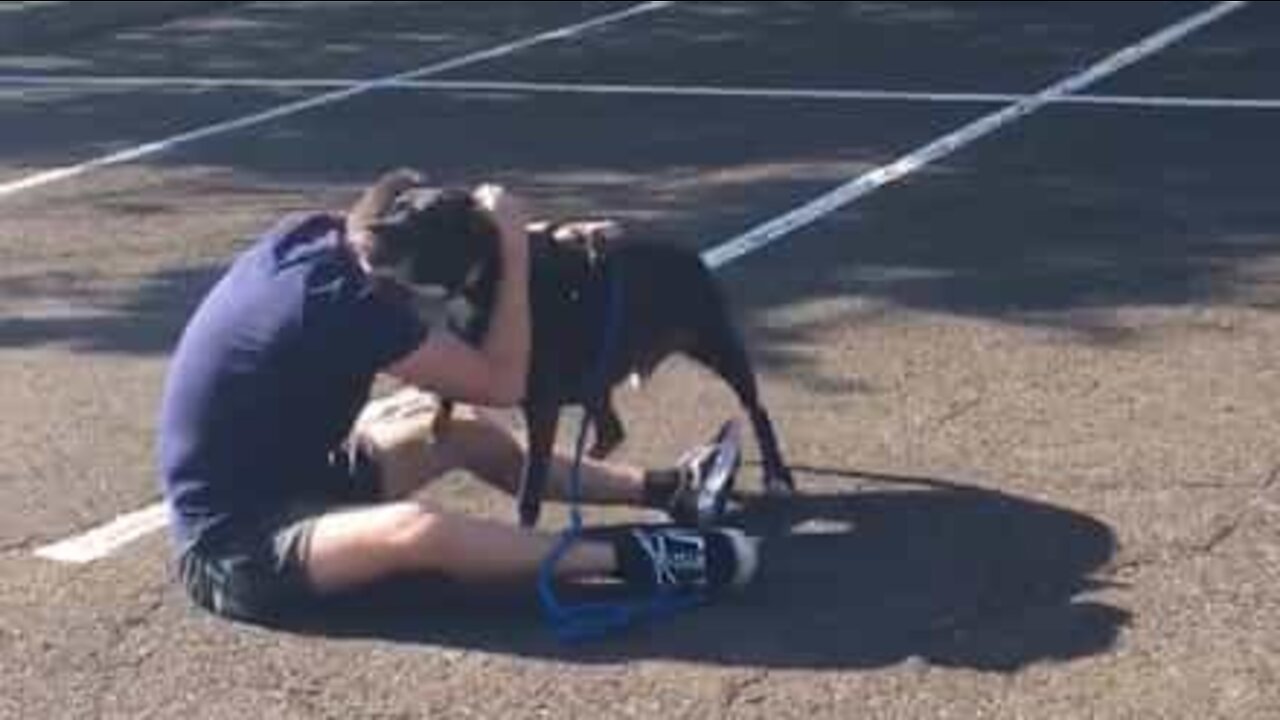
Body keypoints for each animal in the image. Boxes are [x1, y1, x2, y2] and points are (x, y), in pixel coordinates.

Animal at [360, 178, 793, 527]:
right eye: (396, 206)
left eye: (423, 219)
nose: (370, 227)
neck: (483, 273)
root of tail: (689, 255)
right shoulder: (470, 350)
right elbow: (448, 390)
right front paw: (438, 422)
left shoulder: (541, 407)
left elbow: (531, 484)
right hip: (598, 380)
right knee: (611, 430)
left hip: (718, 347)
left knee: (756, 408)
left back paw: (776, 473)